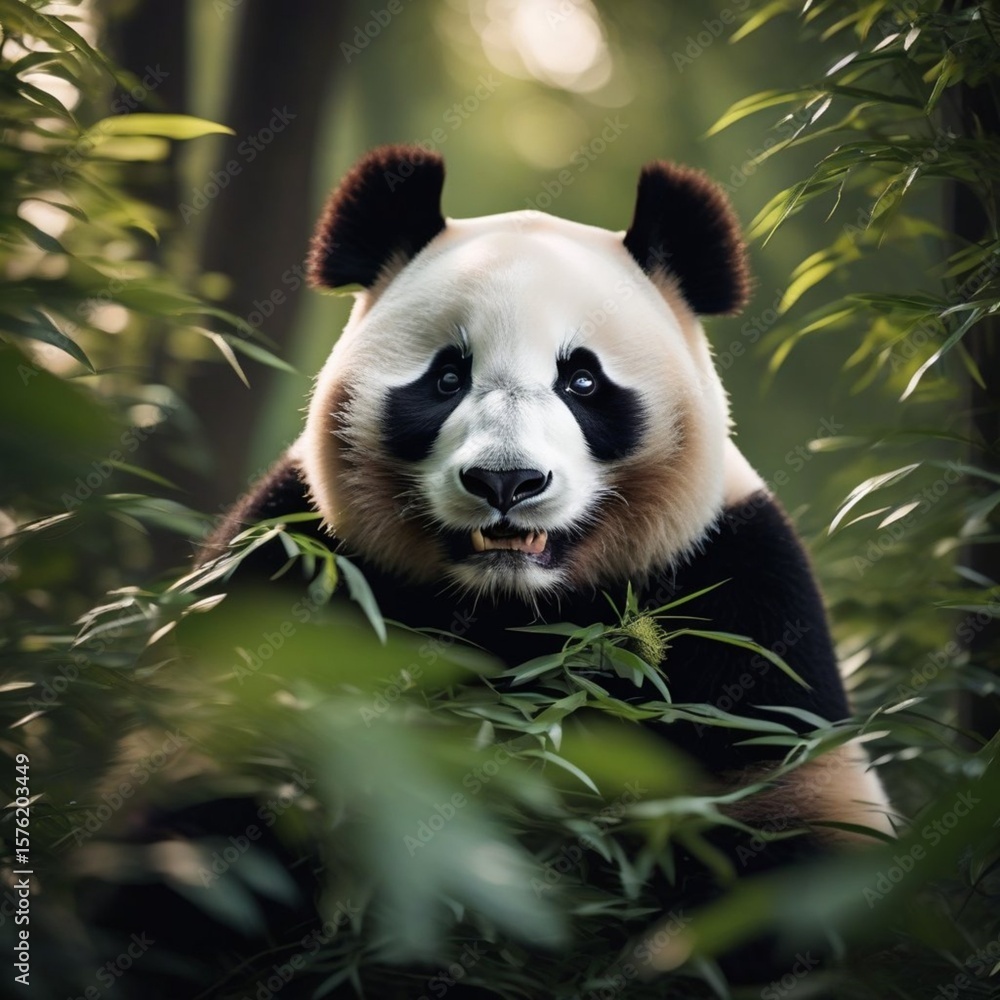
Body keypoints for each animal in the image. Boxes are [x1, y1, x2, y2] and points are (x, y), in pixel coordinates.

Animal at [93, 145, 893, 998]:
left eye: (582, 380)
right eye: (447, 377)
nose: (506, 482)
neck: (511, 608)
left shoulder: (743, 592)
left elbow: (790, 831)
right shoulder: (291, 561)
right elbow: (204, 800)